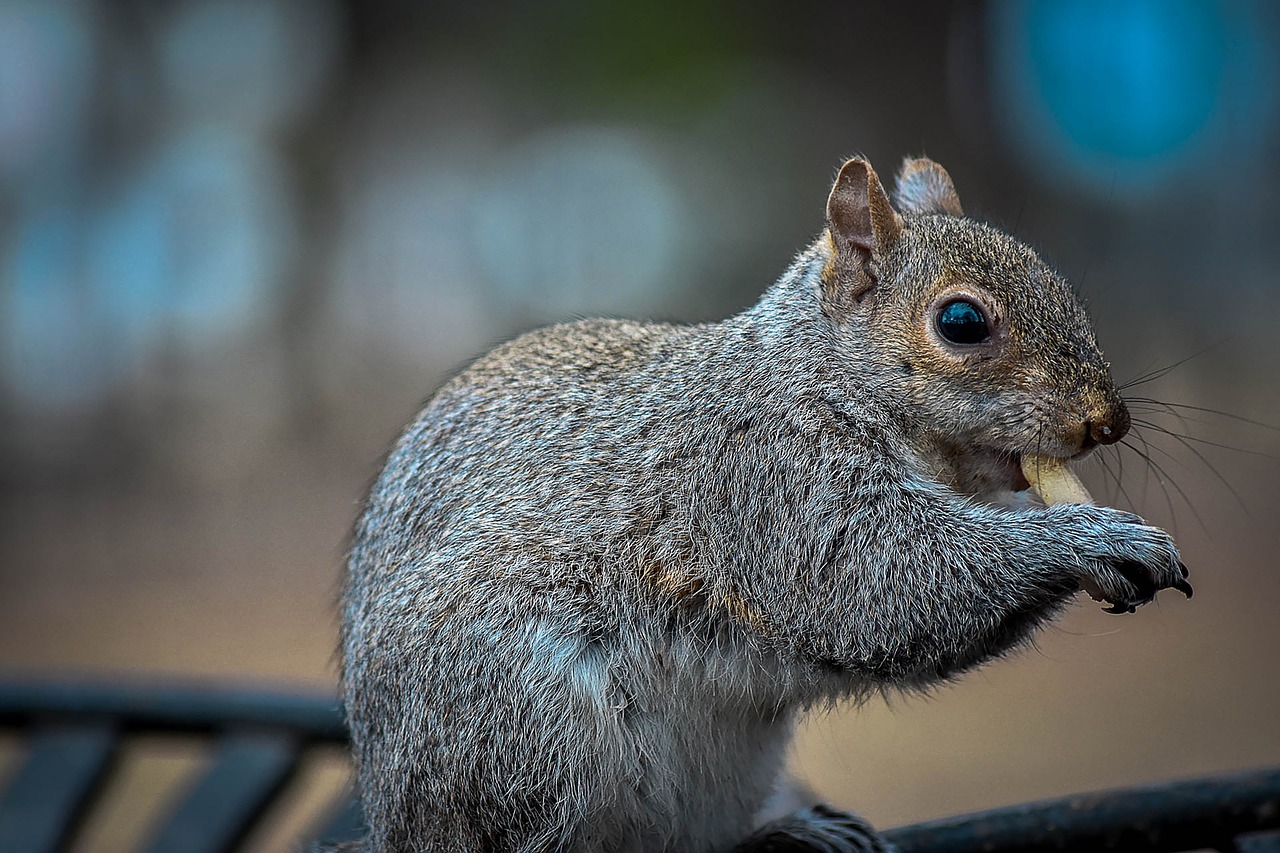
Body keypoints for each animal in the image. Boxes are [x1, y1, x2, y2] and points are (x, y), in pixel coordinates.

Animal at [337, 154, 1187, 850]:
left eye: (1060, 284)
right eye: (961, 322)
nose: (1107, 420)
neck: (816, 371)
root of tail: (395, 820)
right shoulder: (769, 480)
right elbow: (884, 582)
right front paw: (1092, 538)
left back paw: (792, 830)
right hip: (516, 725)